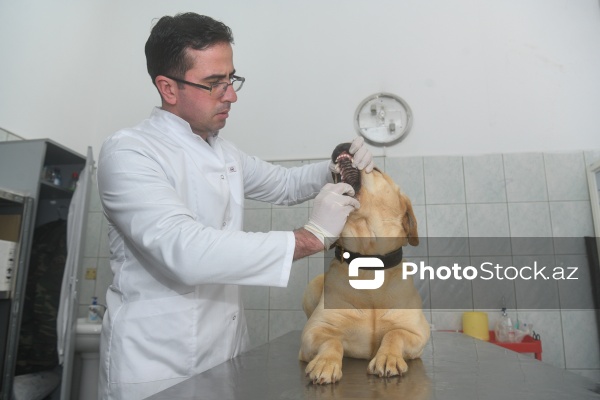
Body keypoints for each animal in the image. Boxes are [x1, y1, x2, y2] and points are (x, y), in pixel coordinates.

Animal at [299, 143, 430, 384]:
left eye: (375, 169)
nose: (343, 144)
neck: (369, 265)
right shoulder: (314, 331)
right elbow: (332, 340)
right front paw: (325, 362)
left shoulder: (417, 332)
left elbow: (395, 333)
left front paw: (388, 357)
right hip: (312, 287)